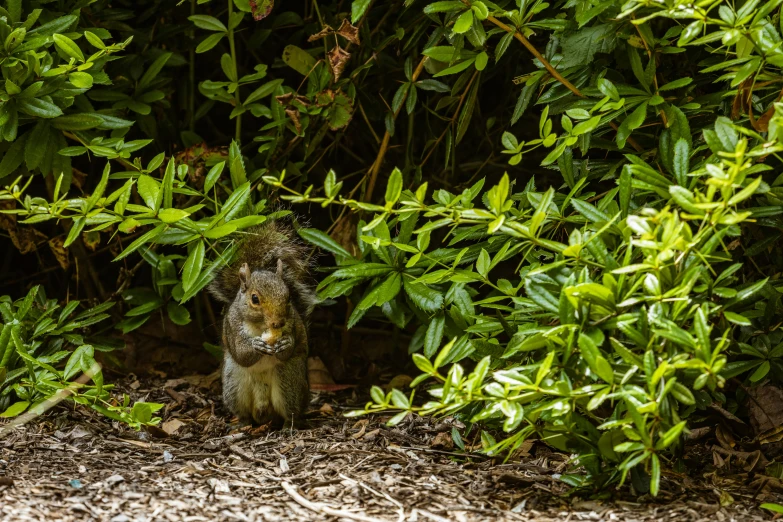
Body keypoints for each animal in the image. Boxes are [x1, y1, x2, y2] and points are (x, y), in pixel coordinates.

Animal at [210, 217, 320, 424]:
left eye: (288, 297)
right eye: (254, 299)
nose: (277, 323)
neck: (260, 326)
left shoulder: (293, 324)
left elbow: (288, 350)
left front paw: (286, 343)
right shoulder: (232, 326)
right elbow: (241, 354)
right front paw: (256, 345)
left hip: (289, 380)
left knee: (291, 412)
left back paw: (288, 425)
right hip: (233, 384)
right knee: (243, 412)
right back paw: (242, 424)